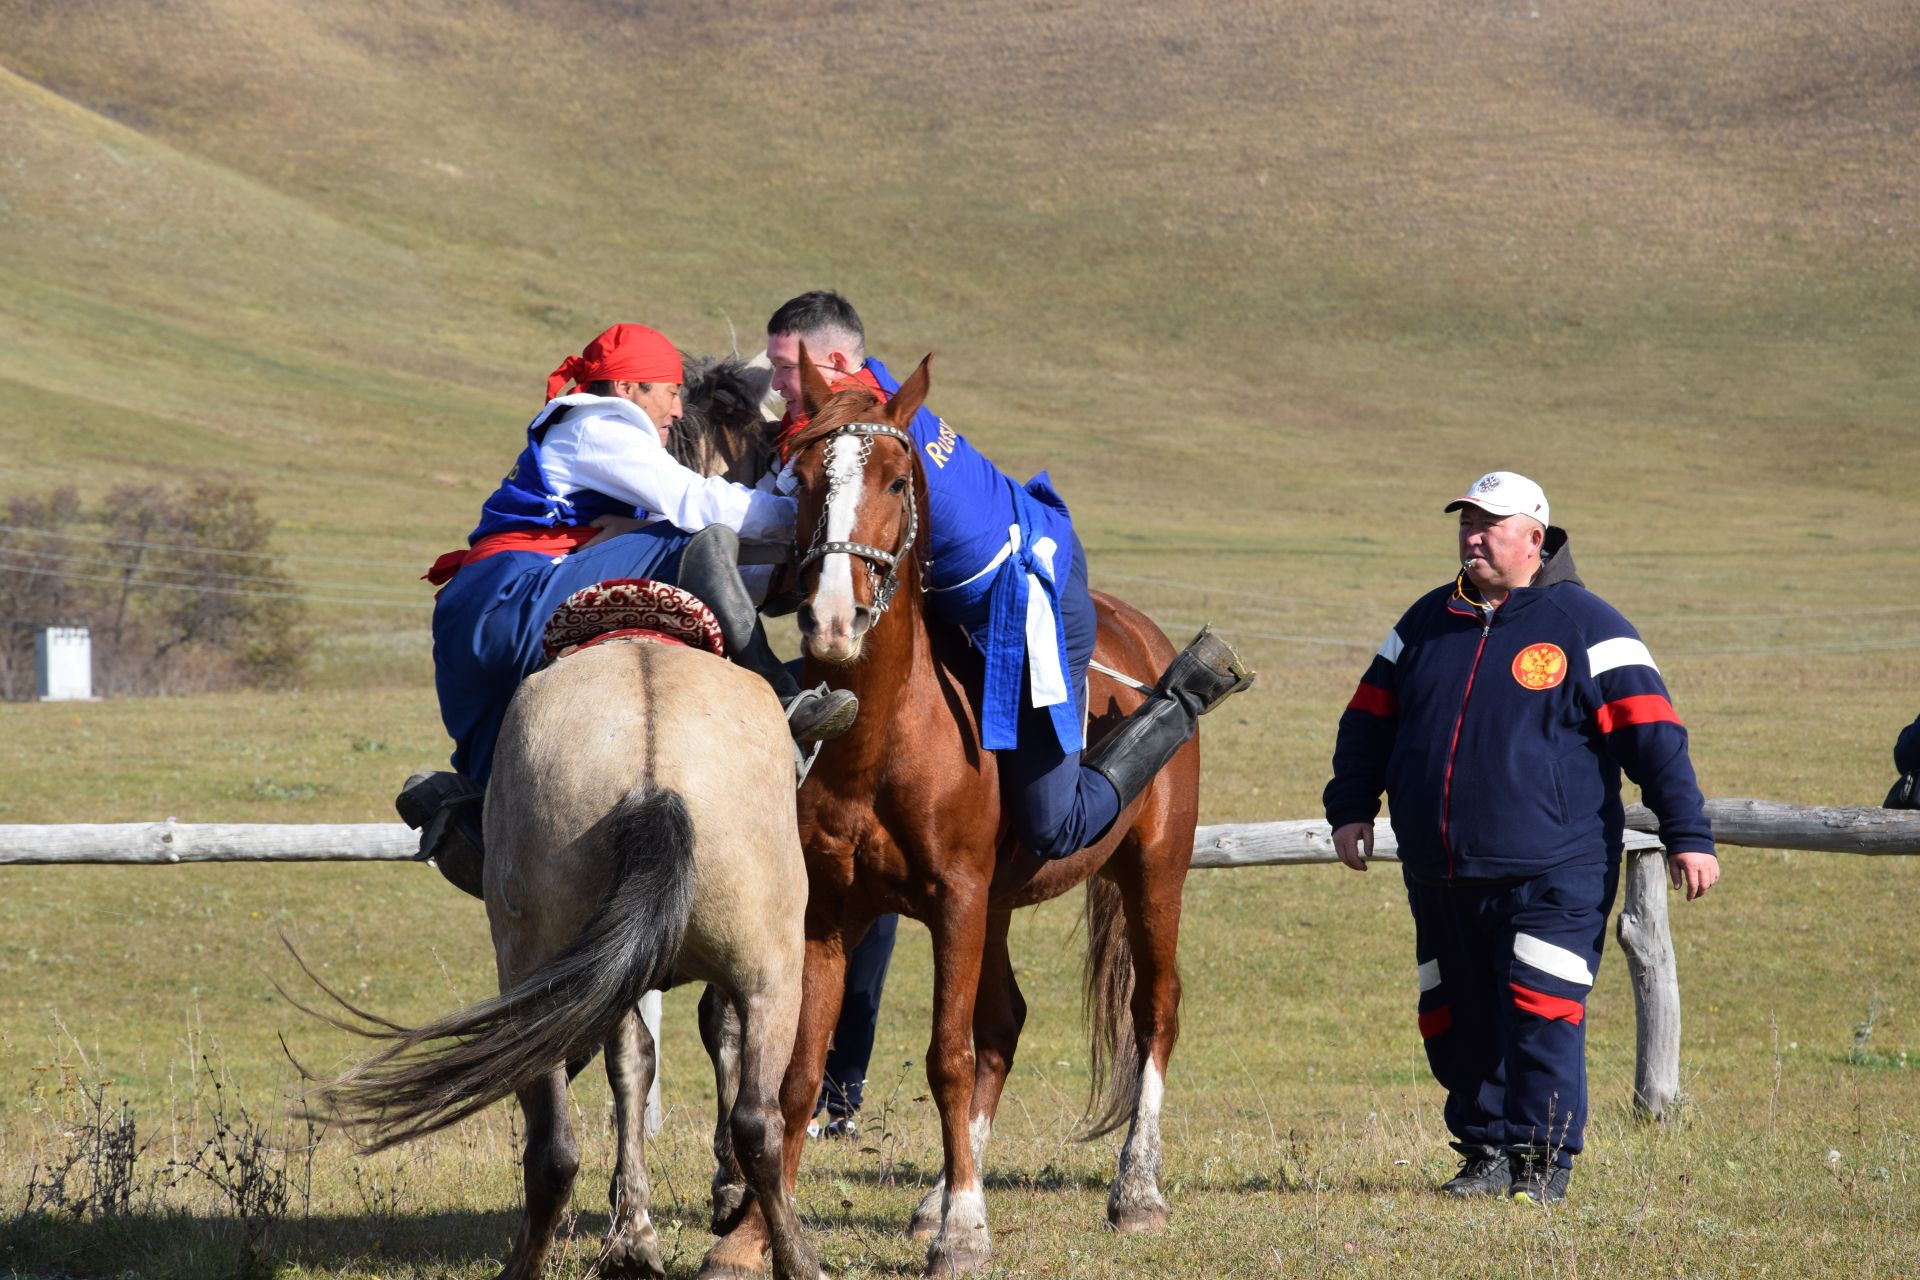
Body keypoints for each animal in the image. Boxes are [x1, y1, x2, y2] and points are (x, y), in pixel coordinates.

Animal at [706, 351, 1198, 1280]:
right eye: (803, 482)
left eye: (898, 483)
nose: (830, 619)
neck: (881, 736)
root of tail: (1143, 635)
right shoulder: (831, 916)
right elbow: (801, 1076)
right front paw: (752, 1233)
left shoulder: (956, 900)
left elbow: (948, 1055)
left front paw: (966, 1232)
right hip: (1003, 904)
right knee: (1006, 1020)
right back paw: (938, 1194)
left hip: (1154, 871)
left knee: (1154, 1010)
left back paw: (1136, 1191)